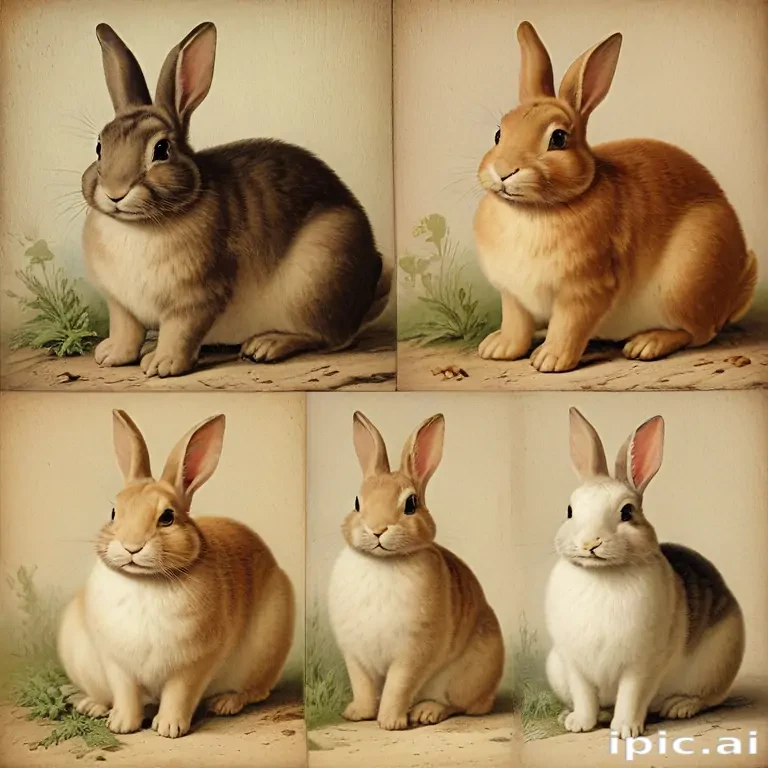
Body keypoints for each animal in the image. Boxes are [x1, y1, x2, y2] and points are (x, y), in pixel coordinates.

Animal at [57, 410, 295, 738]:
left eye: (167, 517)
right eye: (114, 513)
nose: (131, 547)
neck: (144, 581)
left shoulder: (193, 665)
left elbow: (179, 694)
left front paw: (169, 728)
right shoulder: (117, 664)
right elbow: (126, 694)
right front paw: (122, 725)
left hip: (266, 650)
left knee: (256, 691)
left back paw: (226, 703)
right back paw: (92, 706)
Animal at [81, 22, 391, 378]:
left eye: (161, 149)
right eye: (100, 146)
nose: (114, 192)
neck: (137, 226)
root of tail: (366, 296)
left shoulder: (197, 300)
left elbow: (179, 333)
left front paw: (162, 364)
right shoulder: (121, 305)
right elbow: (127, 331)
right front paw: (111, 355)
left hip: (319, 270)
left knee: (328, 338)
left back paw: (266, 345)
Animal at [327, 411, 504, 731]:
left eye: (411, 504)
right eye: (357, 503)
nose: (377, 530)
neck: (382, 562)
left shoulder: (412, 654)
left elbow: (397, 687)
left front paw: (390, 722)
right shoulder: (355, 655)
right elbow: (363, 687)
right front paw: (357, 714)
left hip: (464, 677)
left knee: (458, 704)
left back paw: (426, 712)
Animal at [474, 21, 757, 373]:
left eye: (558, 138)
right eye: (499, 134)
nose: (503, 171)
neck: (532, 210)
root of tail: (732, 296)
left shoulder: (585, 290)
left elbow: (568, 326)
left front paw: (551, 359)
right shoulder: (514, 297)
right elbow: (516, 326)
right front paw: (499, 349)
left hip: (687, 278)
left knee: (699, 333)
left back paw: (647, 344)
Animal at [545, 407, 745, 740]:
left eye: (627, 512)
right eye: (570, 511)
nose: (589, 543)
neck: (602, 575)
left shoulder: (641, 665)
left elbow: (631, 695)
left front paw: (626, 730)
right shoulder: (575, 665)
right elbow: (585, 695)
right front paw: (579, 724)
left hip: (718, 662)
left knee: (710, 698)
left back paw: (680, 706)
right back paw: (571, 715)